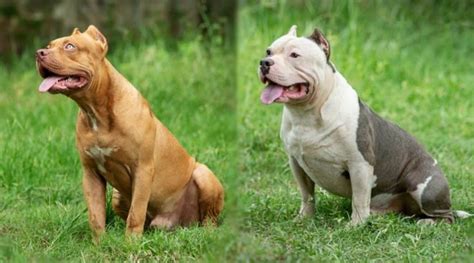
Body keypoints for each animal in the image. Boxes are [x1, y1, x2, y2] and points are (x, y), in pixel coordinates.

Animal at [35, 25, 224, 240]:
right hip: (118, 196)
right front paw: (100, 243)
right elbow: (96, 215)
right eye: (49, 45)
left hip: (204, 174)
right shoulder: (90, 173)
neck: (96, 113)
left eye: (69, 46)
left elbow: (136, 213)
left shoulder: (142, 169)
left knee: (209, 219)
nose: (39, 53)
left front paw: (130, 243)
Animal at [260, 26, 470, 225]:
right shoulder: (296, 163)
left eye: (295, 55)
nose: (264, 62)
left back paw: (427, 223)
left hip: (425, 187)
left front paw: (356, 225)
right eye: (269, 51)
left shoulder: (360, 164)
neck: (307, 113)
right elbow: (307, 195)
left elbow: (359, 199)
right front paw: (305, 218)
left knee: (445, 217)